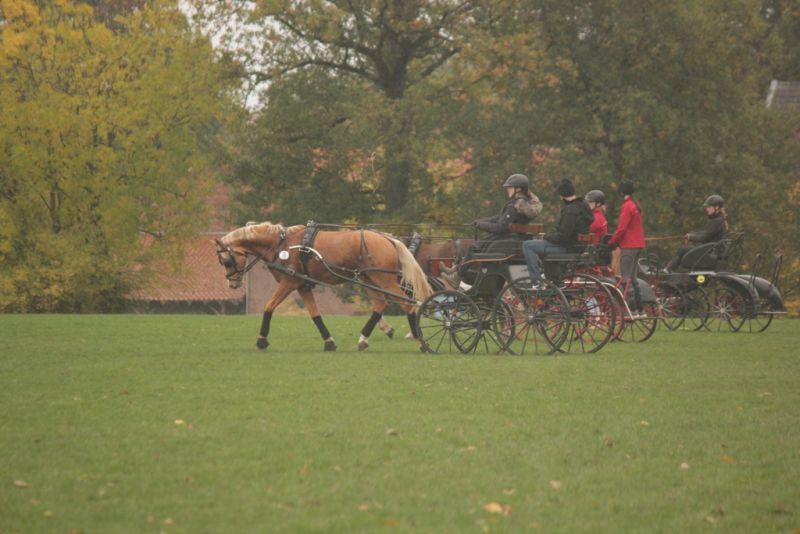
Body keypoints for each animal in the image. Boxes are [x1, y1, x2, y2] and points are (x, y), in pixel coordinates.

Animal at [214, 222, 433, 351]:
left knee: (407, 304)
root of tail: (388, 238)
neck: (282, 245)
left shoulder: (289, 282)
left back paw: (420, 341)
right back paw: (363, 339)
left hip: (383, 280)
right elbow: (315, 314)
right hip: (370, 279)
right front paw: (329, 342)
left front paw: (261, 340)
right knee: (380, 304)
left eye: (226, 261)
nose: (232, 283)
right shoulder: (303, 286)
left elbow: (269, 306)